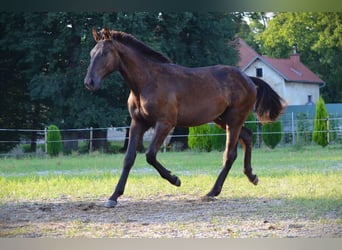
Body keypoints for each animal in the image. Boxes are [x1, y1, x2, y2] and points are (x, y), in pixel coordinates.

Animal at [84, 27, 288, 208]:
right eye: (91, 53)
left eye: (104, 53)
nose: (89, 82)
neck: (147, 82)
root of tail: (249, 79)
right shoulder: (138, 123)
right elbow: (129, 158)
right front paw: (113, 197)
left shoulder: (165, 123)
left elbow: (150, 155)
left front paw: (175, 179)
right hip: (222, 120)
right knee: (247, 137)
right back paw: (252, 176)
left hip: (234, 119)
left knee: (230, 154)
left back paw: (212, 192)